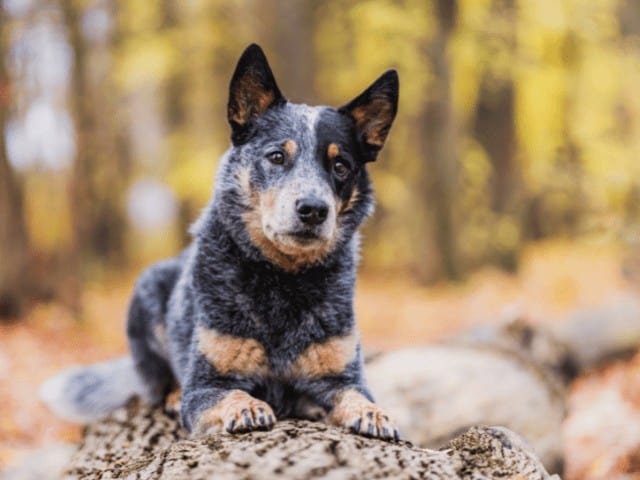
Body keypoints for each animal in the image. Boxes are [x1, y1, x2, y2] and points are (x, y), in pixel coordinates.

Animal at [40, 43, 400, 440]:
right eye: (277, 156)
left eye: (341, 166)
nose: (313, 209)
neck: (283, 279)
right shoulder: (207, 384)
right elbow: (230, 394)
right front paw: (247, 407)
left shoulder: (341, 376)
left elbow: (356, 395)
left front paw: (373, 413)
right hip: (147, 291)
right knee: (157, 383)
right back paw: (170, 394)